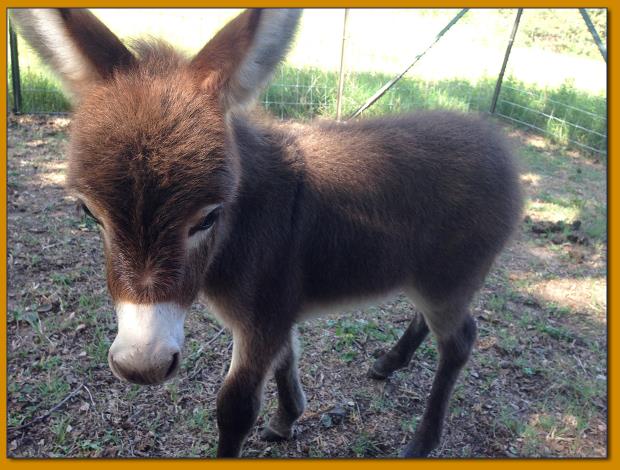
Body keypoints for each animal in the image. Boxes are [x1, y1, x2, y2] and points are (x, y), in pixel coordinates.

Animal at [12, 6, 520, 456]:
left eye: (208, 217)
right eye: (88, 213)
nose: (143, 365)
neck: (246, 222)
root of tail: (499, 143)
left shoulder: (264, 314)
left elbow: (235, 408)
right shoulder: (277, 312)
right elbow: (285, 360)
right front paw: (287, 418)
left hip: (448, 280)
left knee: (459, 342)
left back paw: (422, 441)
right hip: (426, 279)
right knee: (428, 319)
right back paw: (387, 364)